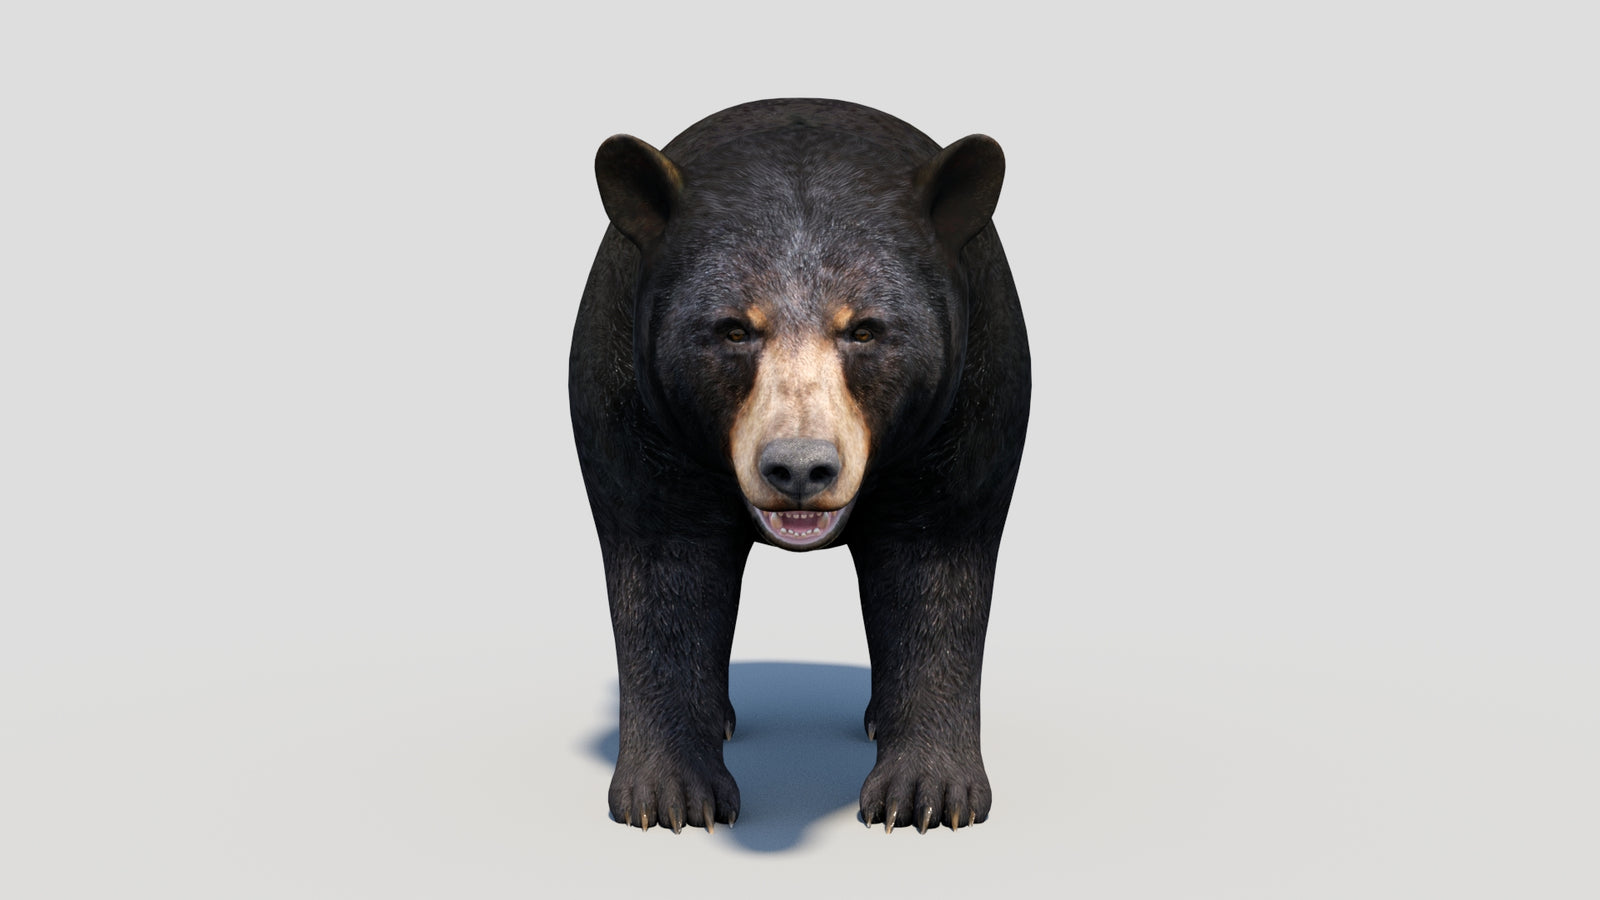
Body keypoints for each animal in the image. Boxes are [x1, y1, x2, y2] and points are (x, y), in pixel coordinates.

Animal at [569, 98, 1030, 834]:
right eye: (733, 329)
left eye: (865, 329)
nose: (799, 468)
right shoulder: (631, 397)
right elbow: (663, 566)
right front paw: (670, 797)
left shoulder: (971, 393)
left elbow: (937, 562)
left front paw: (927, 795)